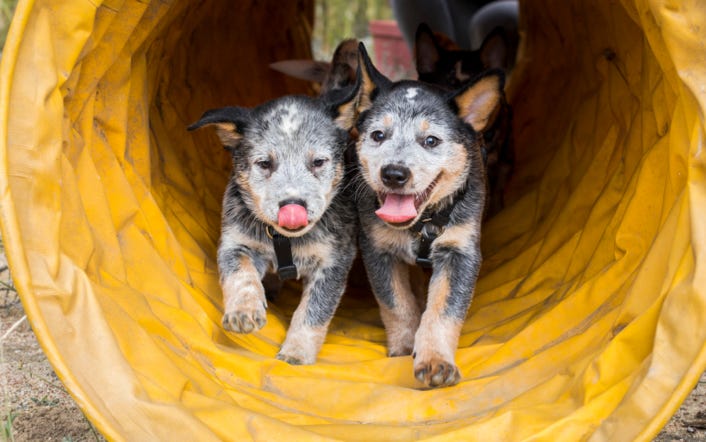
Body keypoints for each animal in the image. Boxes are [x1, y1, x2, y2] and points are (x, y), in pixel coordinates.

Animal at [188, 89, 358, 362]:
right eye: (265, 163)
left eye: (318, 162)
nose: (293, 205)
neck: (284, 240)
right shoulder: (236, 242)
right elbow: (241, 275)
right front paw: (243, 311)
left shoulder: (334, 260)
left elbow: (314, 311)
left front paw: (296, 354)